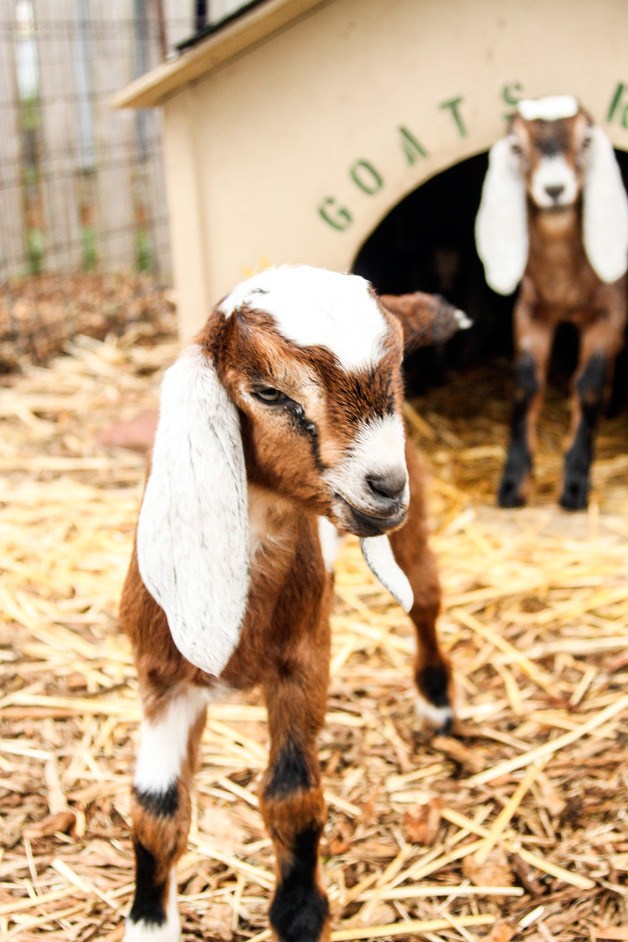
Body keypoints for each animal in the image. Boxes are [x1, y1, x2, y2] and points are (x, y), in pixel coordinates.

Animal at [119, 265, 467, 942]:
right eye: (268, 392)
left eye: (397, 372)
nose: (385, 486)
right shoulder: (164, 679)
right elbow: (156, 809)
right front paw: (149, 921)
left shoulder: (302, 662)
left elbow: (293, 796)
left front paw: (301, 912)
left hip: (409, 535)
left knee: (425, 603)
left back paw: (437, 703)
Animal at [475, 95, 628, 510]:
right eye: (516, 147)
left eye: (586, 140)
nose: (555, 188)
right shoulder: (531, 311)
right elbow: (525, 385)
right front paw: (513, 485)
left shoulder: (610, 312)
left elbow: (590, 385)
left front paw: (574, 486)